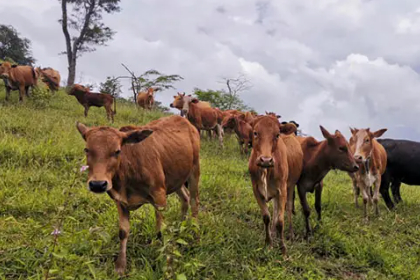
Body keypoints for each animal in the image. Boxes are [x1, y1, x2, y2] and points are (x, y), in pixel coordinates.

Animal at [76, 114, 201, 276]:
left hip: (194, 171)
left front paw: (166, 264)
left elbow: (161, 231)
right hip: (177, 178)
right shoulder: (120, 201)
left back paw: (195, 236)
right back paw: (179, 227)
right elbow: (123, 232)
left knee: (194, 202)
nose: (98, 184)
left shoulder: (160, 196)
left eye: (117, 151)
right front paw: (120, 266)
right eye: (87, 149)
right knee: (185, 198)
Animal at [248, 116, 304, 254]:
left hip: (290, 186)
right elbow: (267, 217)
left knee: (288, 207)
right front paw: (269, 243)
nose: (266, 160)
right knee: (274, 209)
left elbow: (280, 221)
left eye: (277, 135)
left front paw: (283, 249)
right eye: (255, 132)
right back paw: (273, 233)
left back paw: (291, 234)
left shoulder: (282, 190)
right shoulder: (256, 189)